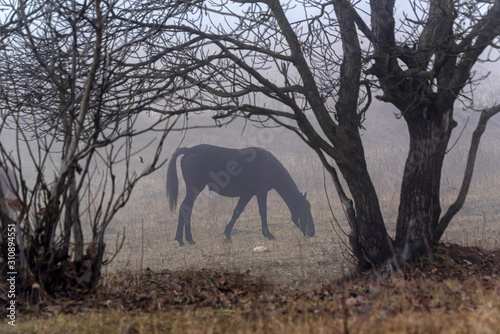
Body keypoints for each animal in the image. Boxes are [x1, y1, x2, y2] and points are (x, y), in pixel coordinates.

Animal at [168, 144, 316, 245]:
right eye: (305, 211)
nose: (312, 232)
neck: (268, 165)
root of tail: (188, 150)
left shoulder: (248, 193)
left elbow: (237, 211)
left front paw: (227, 234)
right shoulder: (261, 192)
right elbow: (263, 211)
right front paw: (268, 234)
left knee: (187, 209)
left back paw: (187, 239)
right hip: (195, 188)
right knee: (185, 208)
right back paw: (183, 239)